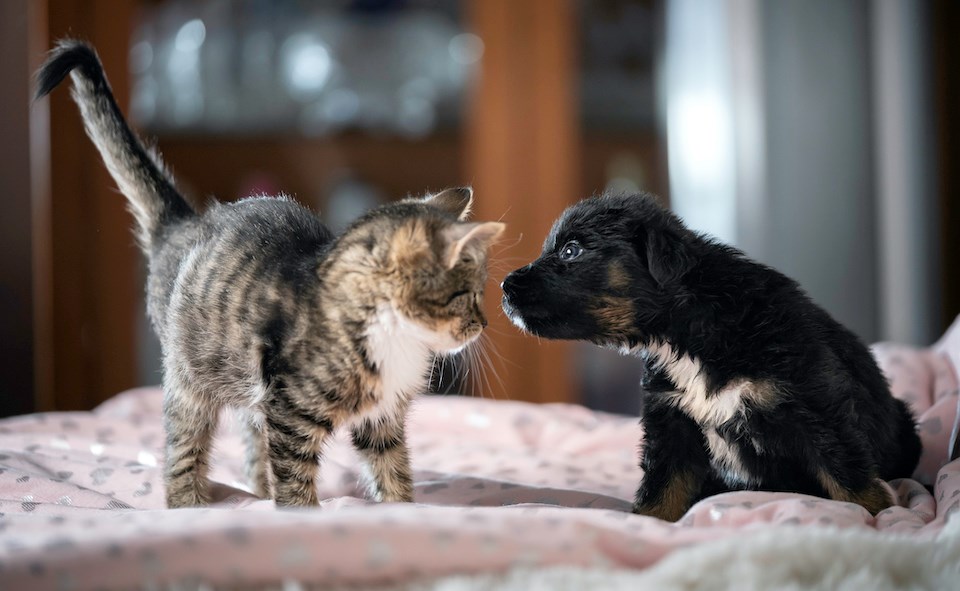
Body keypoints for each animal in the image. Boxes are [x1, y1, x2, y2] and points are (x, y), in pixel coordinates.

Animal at [36, 40, 502, 508]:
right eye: (466, 294)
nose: (483, 324)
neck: (393, 338)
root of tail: (184, 224)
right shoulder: (289, 411)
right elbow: (295, 481)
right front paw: (303, 514)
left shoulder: (381, 419)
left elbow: (393, 471)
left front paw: (402, 510)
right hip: (189, 377)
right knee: (184, 446)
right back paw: (189, 505)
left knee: (249, 441)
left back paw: (257, 494)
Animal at [498, 192, 920, 520]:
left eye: (572, 251)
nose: (504, 286)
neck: (686, 332)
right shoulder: (671, 423)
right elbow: (662, 489)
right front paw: (646, 523)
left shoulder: (816, 408)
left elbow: (850, 477)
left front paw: (884, 519)